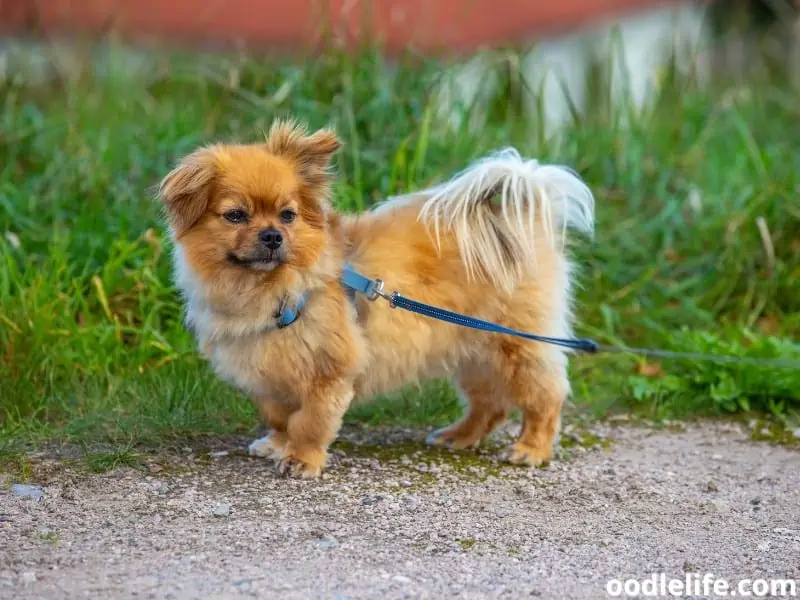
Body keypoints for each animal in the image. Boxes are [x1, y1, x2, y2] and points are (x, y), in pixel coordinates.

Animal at [158, 120, 592, 478]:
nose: (272, 236)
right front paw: (278, 444)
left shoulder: (330, 372)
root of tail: (521, 221)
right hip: (472, 348)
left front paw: (301, 459)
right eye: (235, 216)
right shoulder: (268, 377)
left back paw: (531, 449)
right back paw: (459, 436)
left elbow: (311, 421)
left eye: (287, 216)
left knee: (545, 397)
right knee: (491, 404)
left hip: (516, 346)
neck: (271, 291)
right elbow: (280, 417)